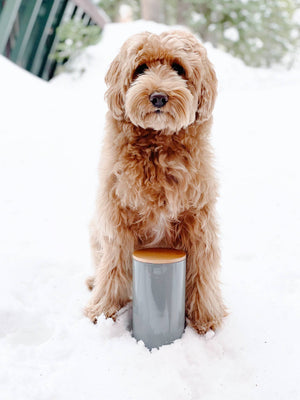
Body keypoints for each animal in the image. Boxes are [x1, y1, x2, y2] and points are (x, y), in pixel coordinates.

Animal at [83, 29, 226, 332]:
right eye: (141, 68)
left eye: (178, 68)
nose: (159, 97)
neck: (158, 145)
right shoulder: (117, 217)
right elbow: (113, 266)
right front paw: (102, 310)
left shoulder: (198, 220)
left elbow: (202, 270)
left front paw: (206, 318)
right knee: (101, 264)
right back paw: (93, 282)